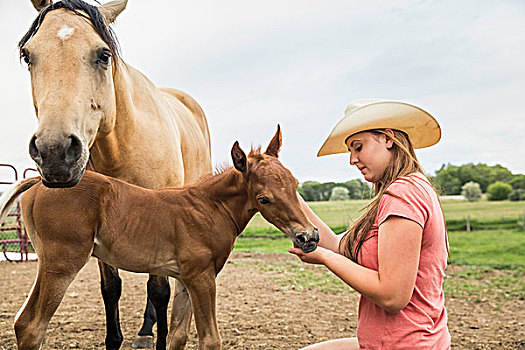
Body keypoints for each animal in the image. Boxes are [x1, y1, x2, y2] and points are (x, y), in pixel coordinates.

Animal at [0, 129, 320, 350]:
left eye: (294, 184)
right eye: (264, 199)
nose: (309, 236)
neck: (208, 207)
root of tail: (39, 181)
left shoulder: (186, 279)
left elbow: (177, 336)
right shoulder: (202, 278)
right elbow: (210, 339)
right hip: (62, 263)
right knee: (30, 326)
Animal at [18, 0, 211, 348]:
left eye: (103, 55)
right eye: (28, 55)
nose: (55, 151)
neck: (124, 145)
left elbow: (158, 291)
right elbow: (111, 290)